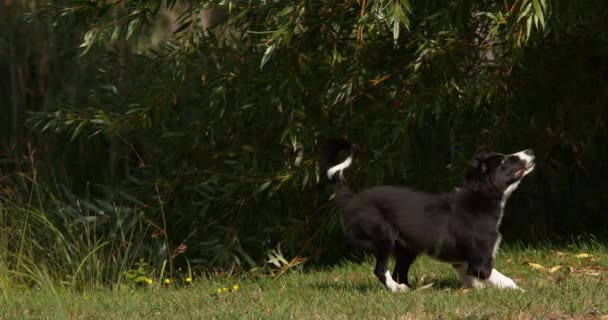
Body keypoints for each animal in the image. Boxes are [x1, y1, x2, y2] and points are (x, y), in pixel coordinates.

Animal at [320, 138, 536, 292]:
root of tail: (351, 200)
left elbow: (470, 279)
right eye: (505, 160)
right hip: (383, 233)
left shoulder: (461, 260)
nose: (530, 151)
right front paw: (524, 292)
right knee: (381, 270)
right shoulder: (480, 262)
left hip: (406, 247)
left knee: (399, 272)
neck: (481, 198)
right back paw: (397, 289)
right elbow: (505, 280)